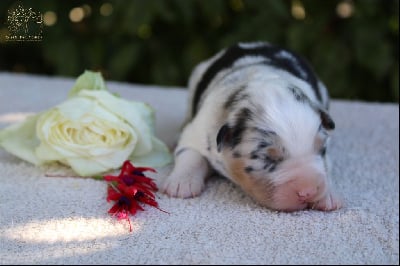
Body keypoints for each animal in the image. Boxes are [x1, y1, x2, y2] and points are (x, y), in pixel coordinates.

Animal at [161, 42, 342, 212]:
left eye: (322, 150)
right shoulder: (199, 129)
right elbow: (190, 154)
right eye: (267, 159)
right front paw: (182, 183)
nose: (308, 192)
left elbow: (327, 166)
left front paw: (328, 195)